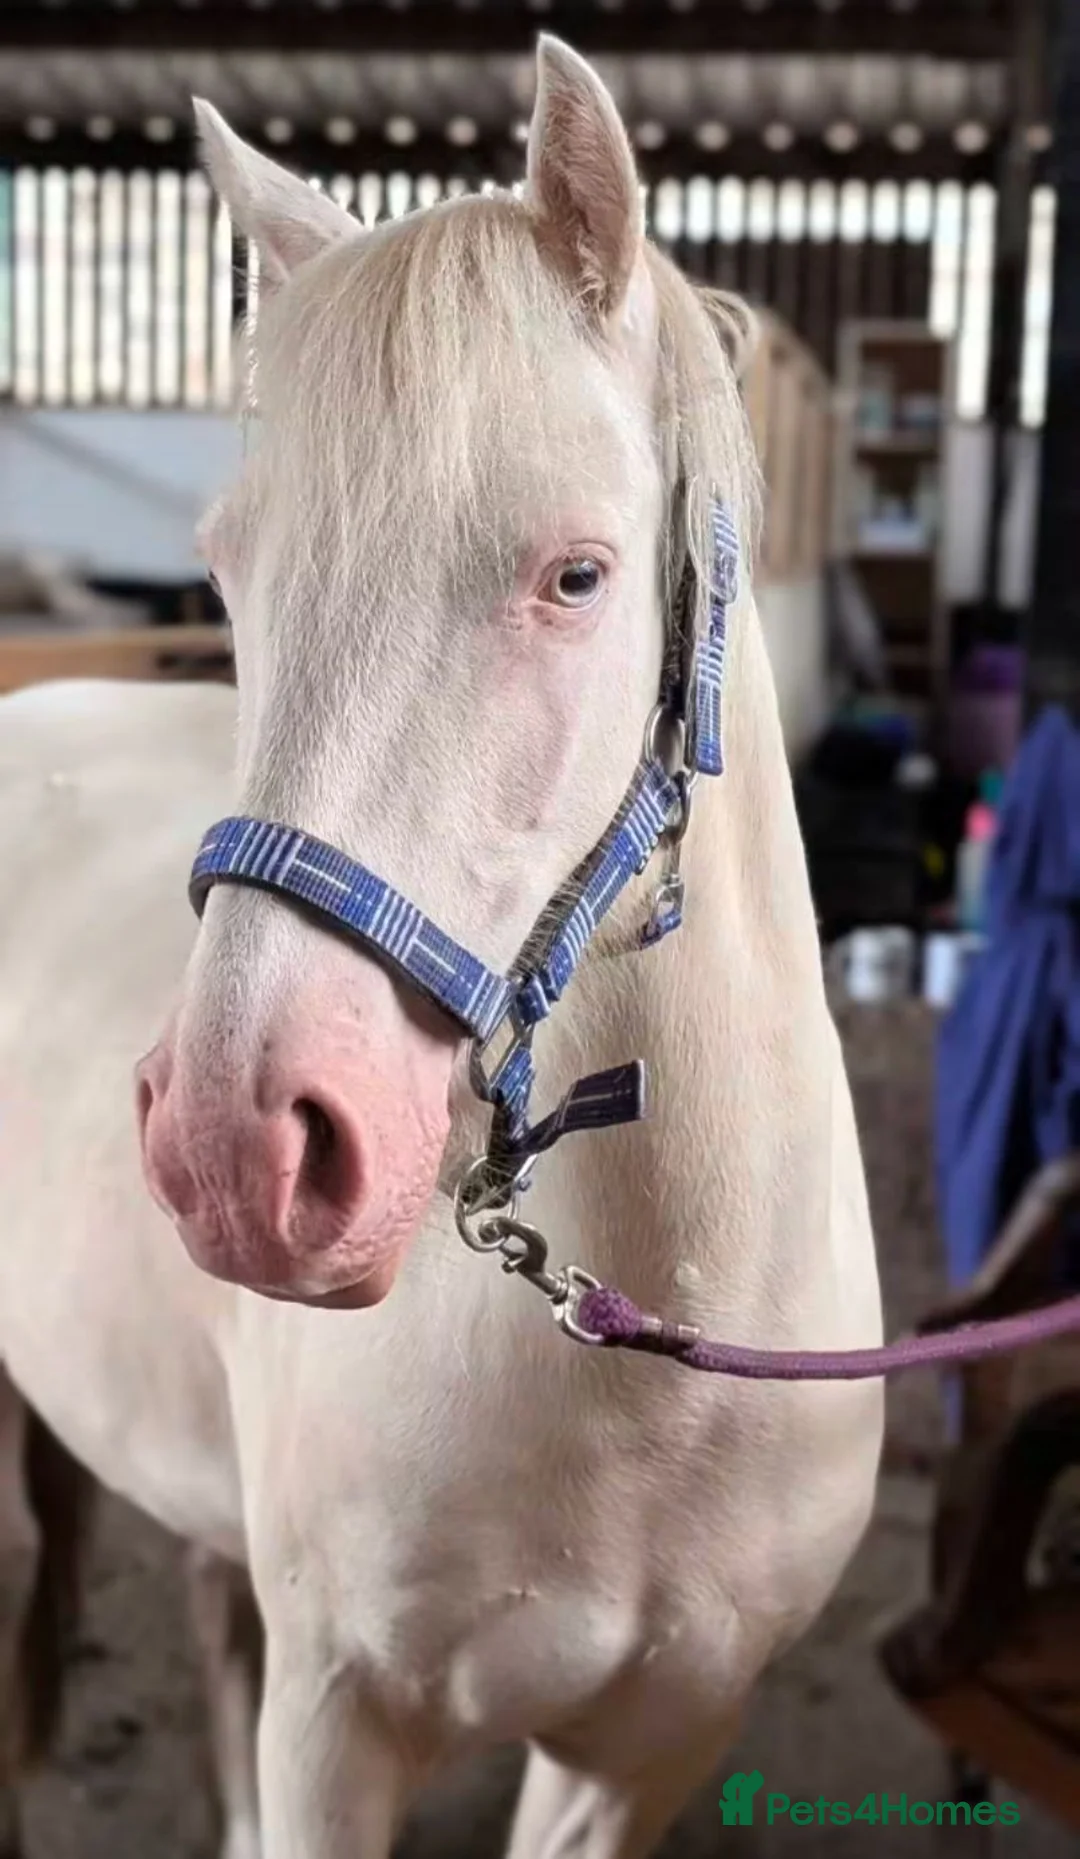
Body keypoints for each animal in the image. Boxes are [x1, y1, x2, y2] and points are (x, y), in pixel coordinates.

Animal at [0, 35, 883, 1858]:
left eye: (578, 574)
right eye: (225, 573)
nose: (236, 1147)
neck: (656, 1363)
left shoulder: (645, 1752)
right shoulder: (340, 1725)